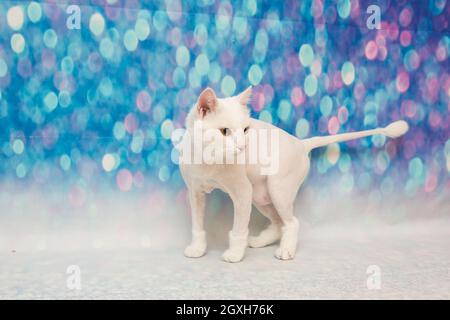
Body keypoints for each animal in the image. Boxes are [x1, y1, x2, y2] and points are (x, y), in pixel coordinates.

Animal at [178, 85, 408, 262]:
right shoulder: (195, 193)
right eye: (224, 132)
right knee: (279, 223)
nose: (243, 146)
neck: (208, 160)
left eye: (245, 130)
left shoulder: (242, 192)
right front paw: (197, 249)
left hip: (276, 191)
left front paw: (234, 254)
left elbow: (239, 229)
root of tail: (300, 143)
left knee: (292, 223)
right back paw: (260, 241)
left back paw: (285, 251)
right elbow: (197, 225)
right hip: (260, 196)